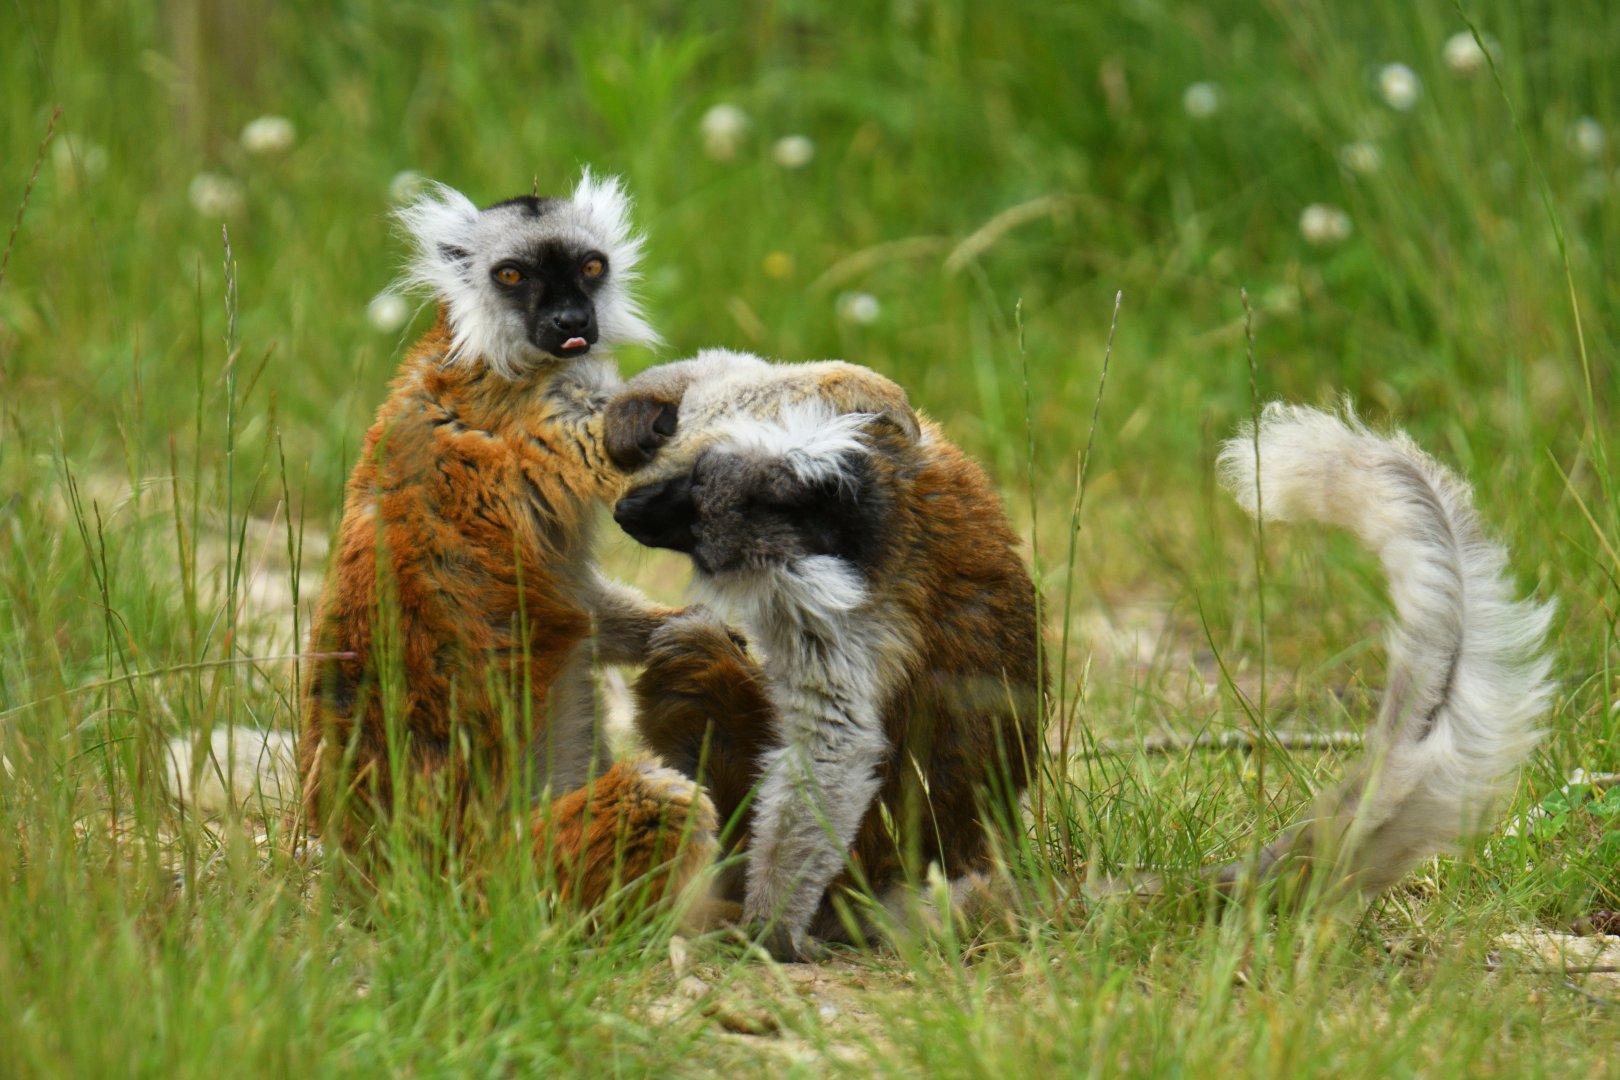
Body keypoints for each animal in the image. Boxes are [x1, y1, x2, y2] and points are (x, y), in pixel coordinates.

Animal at [296, 172, 718, 917]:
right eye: (513, 275)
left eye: (590, 268)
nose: (572, 322)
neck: (485, 348)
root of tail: (381, 876)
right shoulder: (548, 408)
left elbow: (581, 610)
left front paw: (684, 630)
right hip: (506, 884)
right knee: (663, 795)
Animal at [604, 349, 1045, 960]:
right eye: (690, 479)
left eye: (696, 521)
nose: (627, 511)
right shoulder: (903, 450)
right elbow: (761, 380)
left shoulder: (832, 607)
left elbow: (834, 746)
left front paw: (772, 922)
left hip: (853, 868)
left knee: (690, 660)